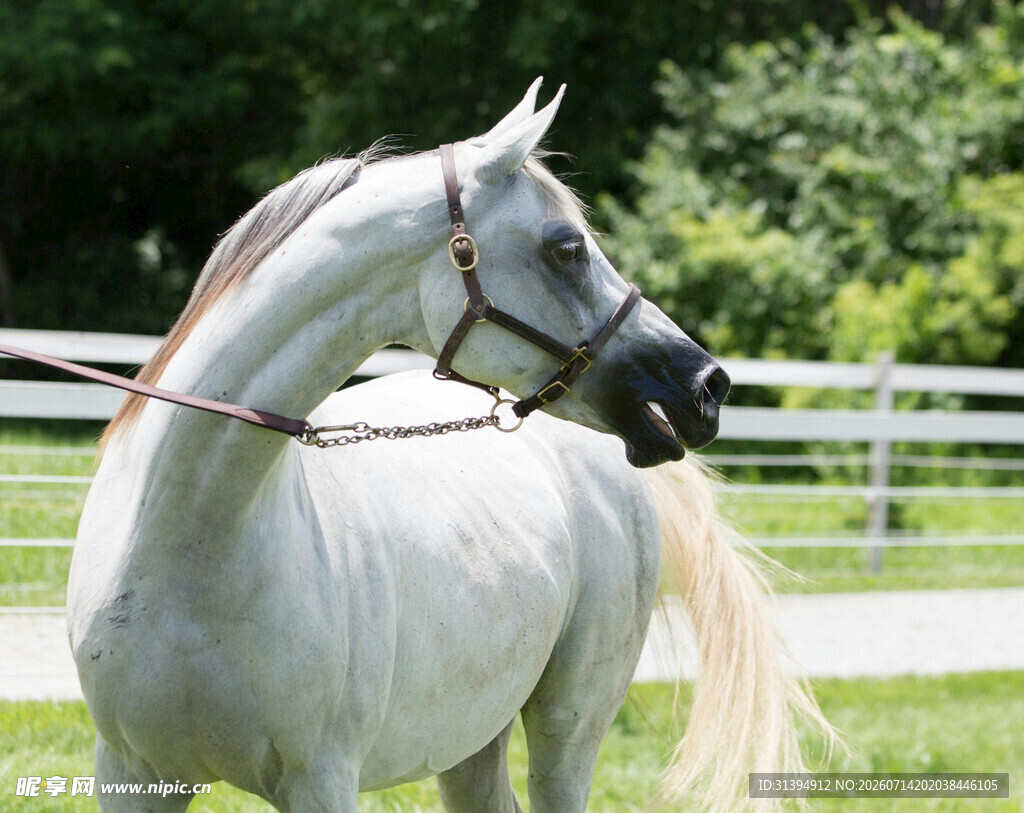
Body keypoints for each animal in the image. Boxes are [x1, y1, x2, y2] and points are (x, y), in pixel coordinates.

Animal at [67, 79, 824, 812]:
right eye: (567, 247)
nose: (705, 385)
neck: (192, 543)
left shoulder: (321, 780)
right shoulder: (130, 776)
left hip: (568, 727)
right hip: (470, 738)